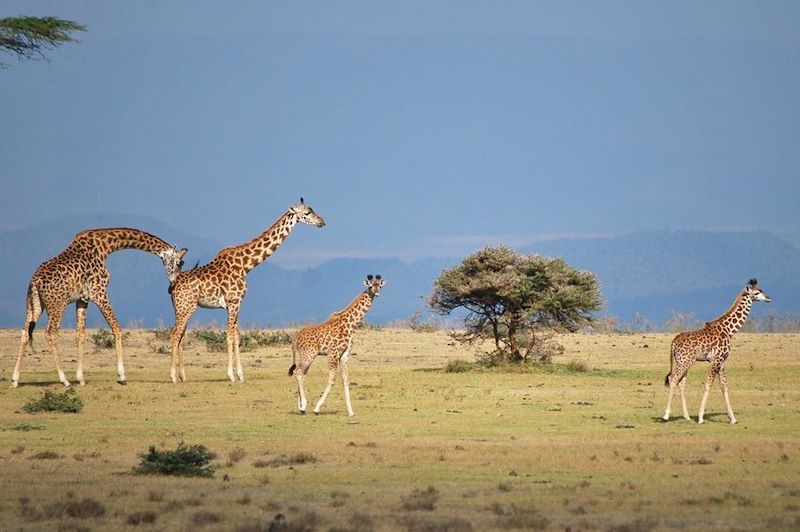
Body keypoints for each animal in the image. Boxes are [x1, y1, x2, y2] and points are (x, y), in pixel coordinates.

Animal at [11, 228, 188, 386]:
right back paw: (64, 380)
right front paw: (121, 376)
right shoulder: (99, 292)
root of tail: (35, 282)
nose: (173, 284)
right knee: (50, 333)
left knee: (25, 331)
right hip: (57, 304)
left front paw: (81, 378)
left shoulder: (83, 299)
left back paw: (15, 380)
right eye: (179, 262)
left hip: (34, 304)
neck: (105, 247)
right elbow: (117, 328)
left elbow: (80, 334)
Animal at [169, 198, 324, 382]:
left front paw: (241, 375)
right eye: (307, 213)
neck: (245, 266)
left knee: (179, 335)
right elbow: (229, 336)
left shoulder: (235, 303)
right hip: (186, 307)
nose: (322, 222)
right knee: (175, 334)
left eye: (312, 209)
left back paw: (182, 376)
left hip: (180, 308)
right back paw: (173, 377)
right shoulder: (233, 301)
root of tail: (172, 285)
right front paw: (231, 375)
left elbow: (237, 336)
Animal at [290, 274, 386, 420]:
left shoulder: (345, 353)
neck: (351, 324)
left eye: (379, 285)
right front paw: (317, 408)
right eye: (370, 286)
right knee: (298, 372)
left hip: (306, 355)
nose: (376, 292)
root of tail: (295, 339)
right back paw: (303, 405)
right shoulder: (333, 352)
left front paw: (351, 411)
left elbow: (345, 380)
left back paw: (301, 407)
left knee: (302, 374)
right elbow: (331, 379)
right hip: (309, 354)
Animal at [660, 278, 772, 424]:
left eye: (762, 290)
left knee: (681, 382)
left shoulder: (722, 362)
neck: (730, 330)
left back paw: (687, 416)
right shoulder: (716, 359)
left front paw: (732, 418)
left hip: (683, 361)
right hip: (685, 361)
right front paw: (701, 417)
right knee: (673, 379)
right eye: (757, 292)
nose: (768, 298)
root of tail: (673, 343)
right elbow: (708, 384)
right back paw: (666, 415)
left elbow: (724, 386)